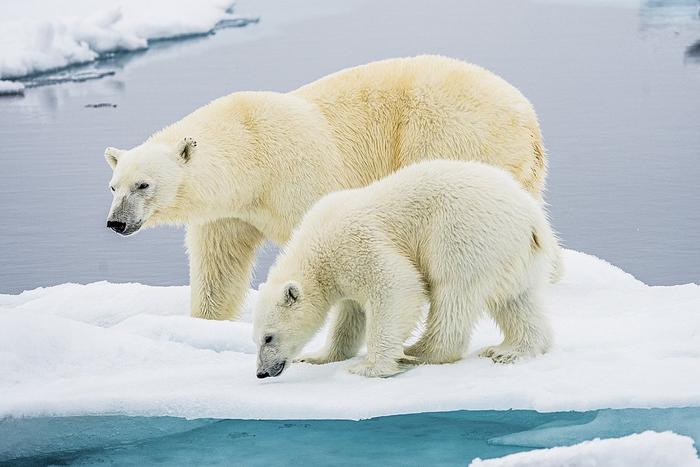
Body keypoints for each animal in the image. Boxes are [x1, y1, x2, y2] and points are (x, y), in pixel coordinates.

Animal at [105, 54, 552, 322]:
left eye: (143, 184)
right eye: (113, 186)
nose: (116, 223)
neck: (251, 152)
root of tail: (529, 119)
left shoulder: (297, 175)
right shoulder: (229, 211)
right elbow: (219, 265)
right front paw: (206, 319)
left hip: (451, 134)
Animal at [253, 159, 556, 378]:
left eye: (268, 337)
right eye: (255, 338)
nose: (261, 373)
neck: (315, 245)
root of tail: (532, 218)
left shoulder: (355, 243)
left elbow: (395, 284)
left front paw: (368, 367)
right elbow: (349, 315)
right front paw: (317, 356)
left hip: (464, 233)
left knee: (453, 292)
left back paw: (420, 351)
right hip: (513, 255)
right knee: (517, 299)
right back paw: (510, 350)